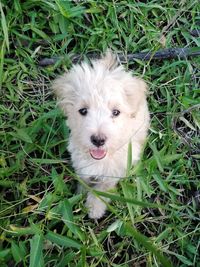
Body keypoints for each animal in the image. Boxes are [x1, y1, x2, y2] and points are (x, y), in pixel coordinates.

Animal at [52, 51, 149, 219]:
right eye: (83, 111)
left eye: (116, 112)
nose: (98, 140)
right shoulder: (81, 163)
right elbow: (84, 180)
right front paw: (80, 194)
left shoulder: (116, 170)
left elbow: (102, 189)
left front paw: (94, 209)